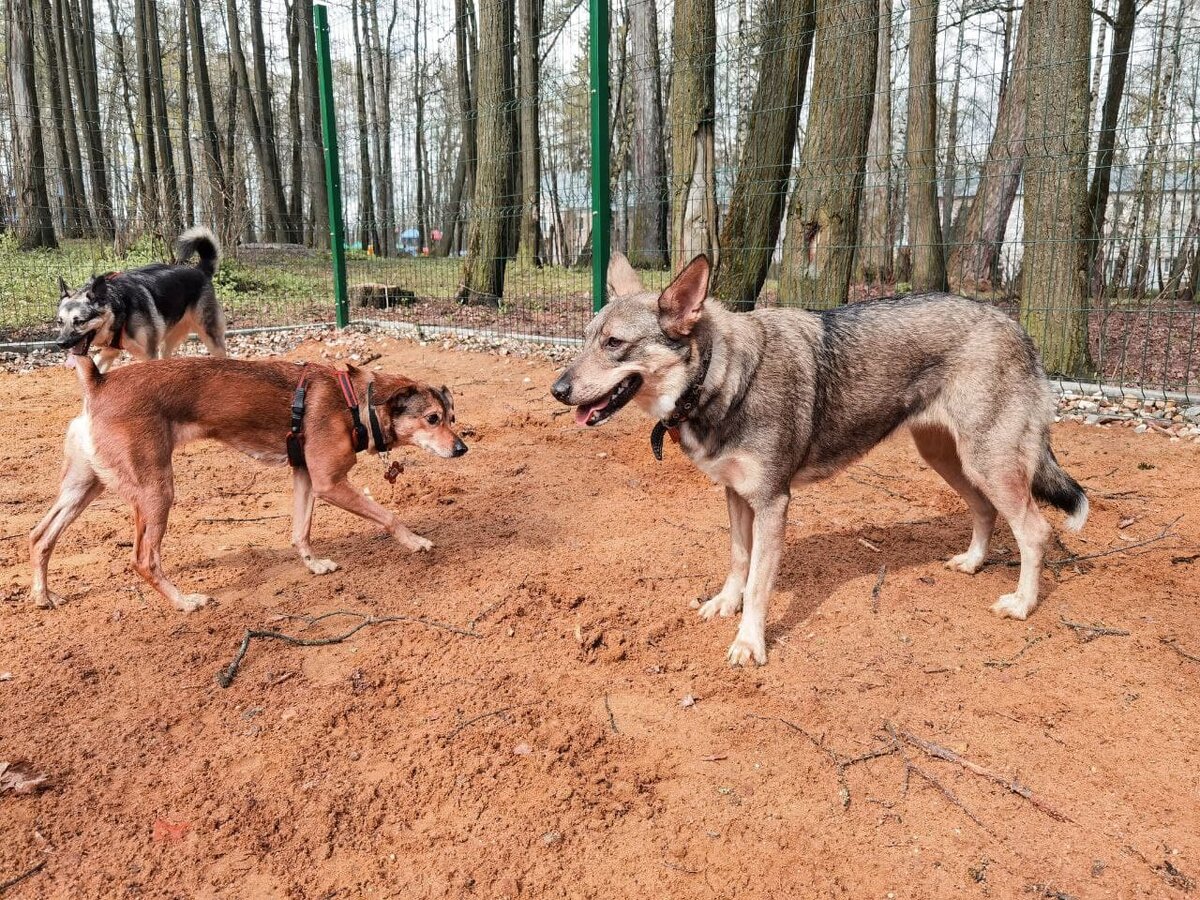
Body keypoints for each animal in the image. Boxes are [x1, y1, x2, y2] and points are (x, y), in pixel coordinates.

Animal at [30, 355, 465, 619]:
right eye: (432, 418)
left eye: (452, 417)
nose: (462, 448)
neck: (355, 403)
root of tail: (97, 383)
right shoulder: (329, 483)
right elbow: (389, 517)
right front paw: (415, 541)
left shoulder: (305, 477)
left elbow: (301, 531)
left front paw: (313, 564)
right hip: (156, 492)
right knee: (143, 559)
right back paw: (185, 602)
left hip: (85, 487)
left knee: (39, 536)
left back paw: (43, 596)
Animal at [57, 226, 228, 372]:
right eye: (59, 322)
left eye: (80, 322)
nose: (60, 343)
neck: (119, 308)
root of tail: (200, 271)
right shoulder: (109, 353)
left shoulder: (149, 355)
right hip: (167, 343)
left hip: (211, 339)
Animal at [552, 254, 1089, 672]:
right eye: (587, 337)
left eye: (614, 344)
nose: (556, 390)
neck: (720, 378)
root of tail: (1017, 326)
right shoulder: (736, 495)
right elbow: (739, 560)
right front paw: (725, 603)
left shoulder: (773, 502)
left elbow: (760, 584)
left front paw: (749, 643)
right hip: (950, 459)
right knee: (985, 510)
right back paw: (974, 562)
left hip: (987, 462)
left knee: (1035, 531)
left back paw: (1022, 603)